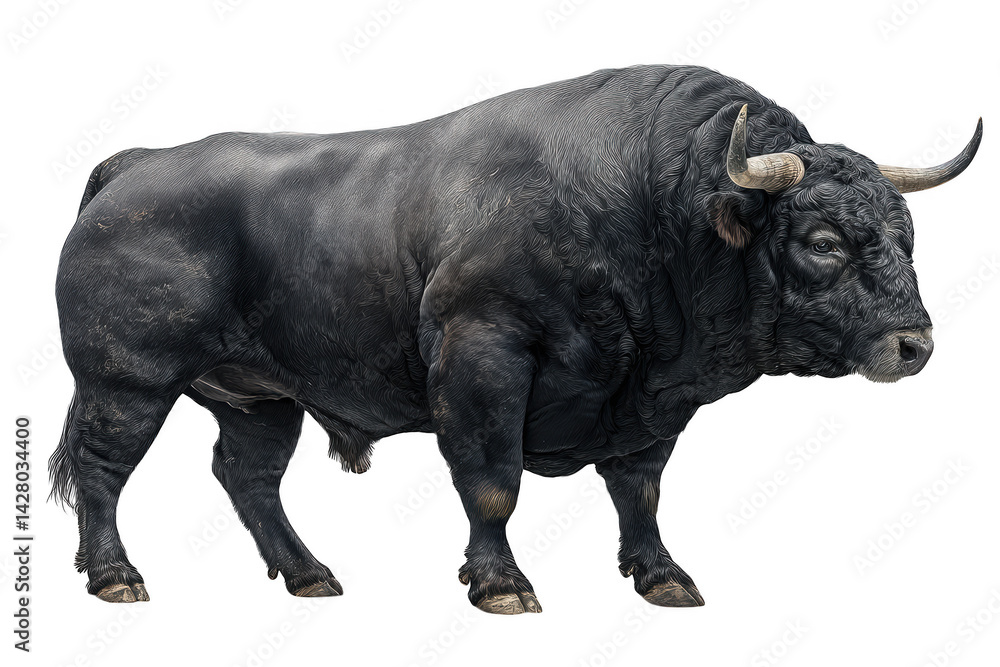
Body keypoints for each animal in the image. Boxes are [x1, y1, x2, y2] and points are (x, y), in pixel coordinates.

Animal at [49, 65, 981, 614]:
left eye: (906, 236)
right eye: (822, 241)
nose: (914, 344)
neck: (648, 202)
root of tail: (137, 165)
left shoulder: (655, 401)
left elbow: (640, 490)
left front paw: (665, 577)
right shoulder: (485, 359)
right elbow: (493, 482)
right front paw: (501, 584)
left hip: (260, 399)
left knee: (247, 478)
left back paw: (312, 575)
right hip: (127, 383)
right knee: (101, 470)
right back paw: (117, 576)